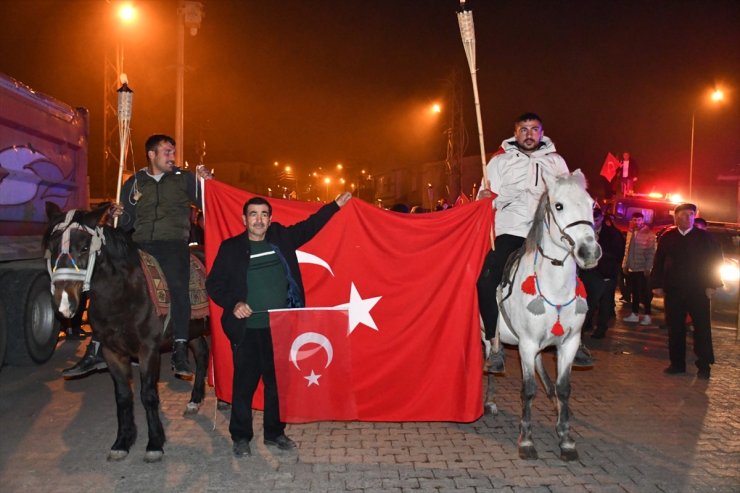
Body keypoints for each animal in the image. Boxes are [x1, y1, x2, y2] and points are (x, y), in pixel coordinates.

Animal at [44, 201, 208, 462]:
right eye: (52, 248)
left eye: (84, 247)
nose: (64, 302)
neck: (123, 294)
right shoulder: (112, 352)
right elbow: (123, 397)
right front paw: (122, 441)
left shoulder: (148, 349)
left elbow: (148, 395)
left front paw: (154, 443)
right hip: (194, 329)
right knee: (202, 353)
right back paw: (194, 400)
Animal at [486, 170, 600, 462]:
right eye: (558, 206)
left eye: (592, 204)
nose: (590, 252)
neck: (555, 288)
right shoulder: (526, 344)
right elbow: (528, 390)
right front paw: (526, 440)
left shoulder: (568, 343)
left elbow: (564, 388)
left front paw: (566, 438)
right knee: (489, 359)